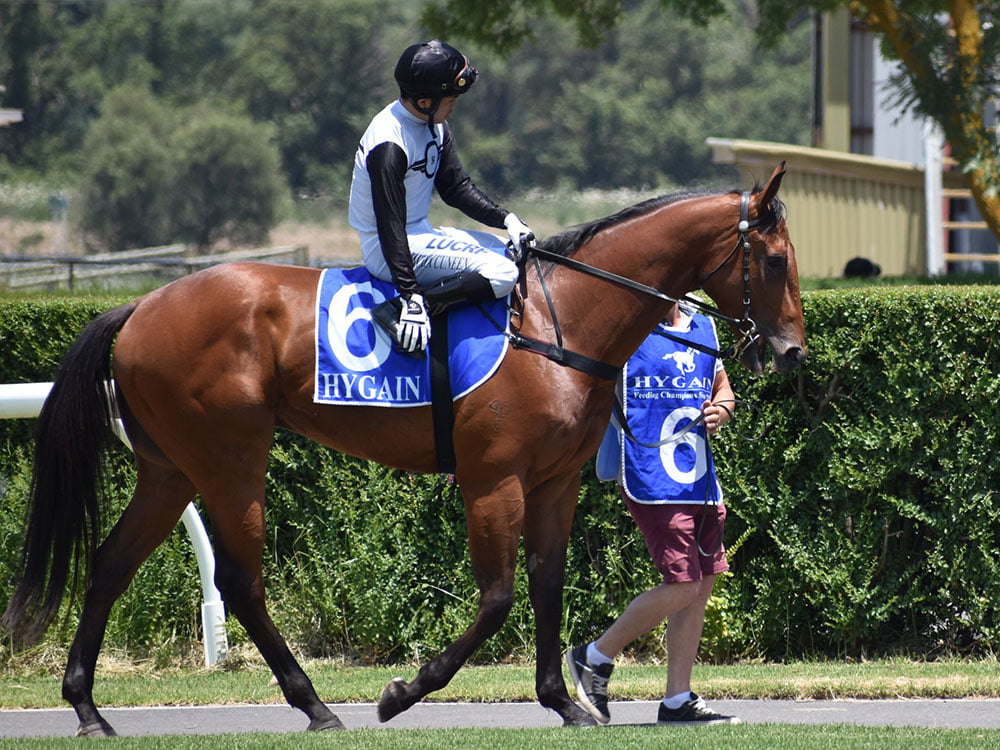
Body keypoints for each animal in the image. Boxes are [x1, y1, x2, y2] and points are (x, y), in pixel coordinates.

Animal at [1, 163, 804, 736]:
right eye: (772, 261)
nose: (792, 352)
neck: (560, 319)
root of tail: (141, 303)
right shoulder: (493, 481)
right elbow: (497, 597)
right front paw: (404, 691)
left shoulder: (555, 482)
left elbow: (546, 586)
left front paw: (564, 701)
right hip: (230, 461)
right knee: (240, 579)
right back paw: (316, 705)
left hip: (169, 470)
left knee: (111, 564)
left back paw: (89, 709)